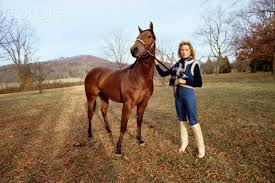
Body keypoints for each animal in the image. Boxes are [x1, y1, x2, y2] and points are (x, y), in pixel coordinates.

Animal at [84, 21, 157, 156]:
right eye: (138, 36)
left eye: (149, 36)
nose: (134, 50)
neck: (139, 76)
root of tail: (91, 72)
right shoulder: (128, 104)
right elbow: (123, 125)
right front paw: (118, 149)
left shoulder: (143, 103)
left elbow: (139, 121)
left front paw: (140, 140)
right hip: (91, 97)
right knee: (90, 114)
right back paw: (90, 134)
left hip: (104, 96)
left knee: (103, 111)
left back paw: (108, 130)